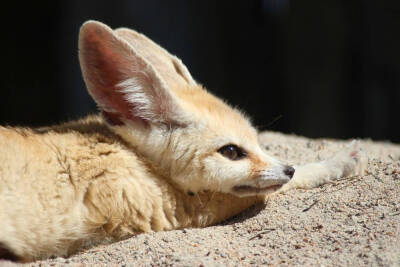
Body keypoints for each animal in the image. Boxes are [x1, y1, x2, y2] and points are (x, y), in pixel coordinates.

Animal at [0, 21, 366, 264]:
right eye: (231, 152)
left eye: (257, 141)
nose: (285, 169)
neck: (132, 156)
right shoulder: (178, 210)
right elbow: (280, 186)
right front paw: (339, 160)